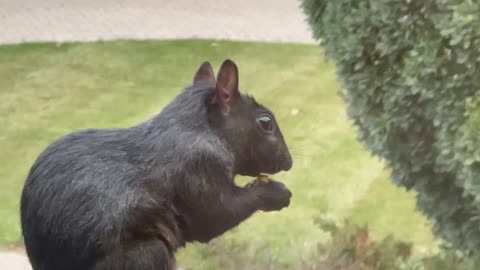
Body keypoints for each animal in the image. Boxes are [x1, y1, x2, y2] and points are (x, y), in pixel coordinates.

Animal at [21, 59, 292, 270]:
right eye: (265, 122)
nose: (289, 162)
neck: (201, 129)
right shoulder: (199, 166)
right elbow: (217, 214)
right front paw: (276, 193)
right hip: (145, 254)